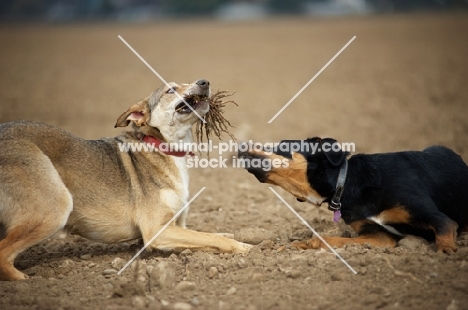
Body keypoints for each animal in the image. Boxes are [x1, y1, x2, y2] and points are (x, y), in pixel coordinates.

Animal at [0, 78, 252, 280]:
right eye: (170, 89)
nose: (204, 82)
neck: (164, 147)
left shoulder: (176, 226)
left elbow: (210, 235)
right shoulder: (156, 231)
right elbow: (213, 238)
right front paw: (242, 246)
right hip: (55, 208)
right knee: (3, 254)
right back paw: (23, 281)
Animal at [239, 138, 468, 254]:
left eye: (282, 145)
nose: (241, 145)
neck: (347, 182)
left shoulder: (438, 218)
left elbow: (444, 232)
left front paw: (446, 253)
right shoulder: (380, 236)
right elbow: (332, 239)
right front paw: (305, 244)